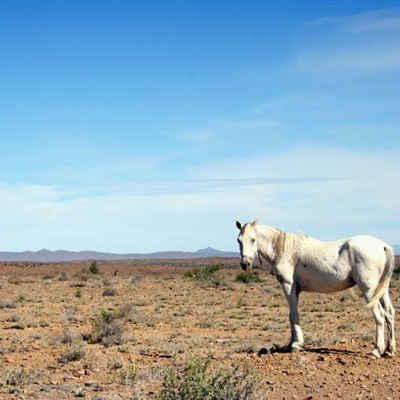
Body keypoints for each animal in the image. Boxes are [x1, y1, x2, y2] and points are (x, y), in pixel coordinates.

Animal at [236, 220, 396, 358]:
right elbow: (292, 315)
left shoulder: (288, 286)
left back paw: (376, 351)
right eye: (239, 240)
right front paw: (291, 343)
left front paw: (295, 345)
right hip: (381, 290)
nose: (245, 264)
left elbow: (293, 315)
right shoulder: (296, 290)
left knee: (380, 315)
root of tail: (383, 246)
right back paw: (389, 351)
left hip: (369, 290)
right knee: (389, 313)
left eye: (253, 239)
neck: (284, 250)